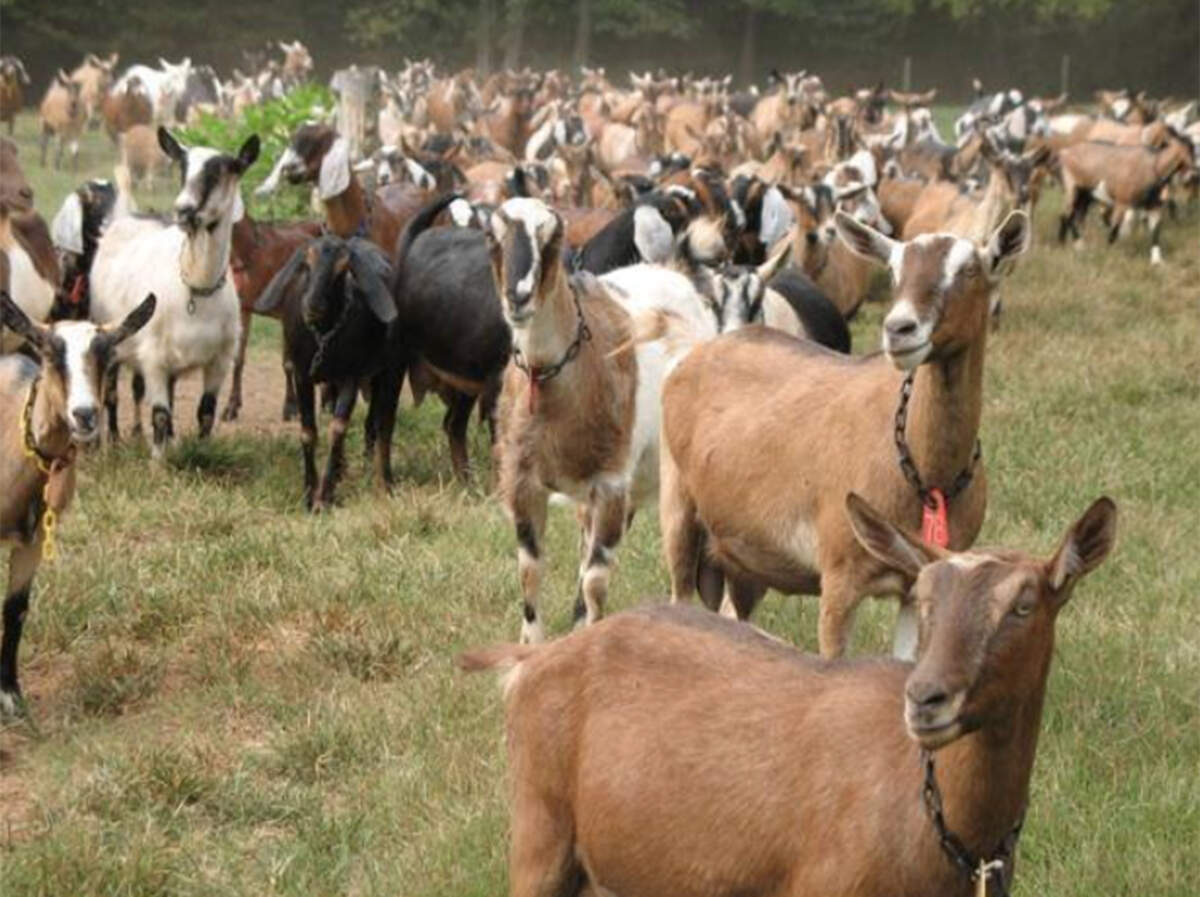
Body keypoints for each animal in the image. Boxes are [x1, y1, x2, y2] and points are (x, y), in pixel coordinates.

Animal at [0, 290, 155, 716]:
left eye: (106, 355)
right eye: (50, 353)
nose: (85, 415)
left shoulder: (33, 541)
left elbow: (15, 610)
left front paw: (11, 697)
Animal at [91, 128, 259, 458]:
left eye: (220, 171)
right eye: (182, 168)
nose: (183, 209)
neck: (196, 288)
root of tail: (127, 216)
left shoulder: (220, 360)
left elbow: (205, 412)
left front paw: (201, 453)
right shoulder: (154, 357)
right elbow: (159, 413)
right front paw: (158, 464)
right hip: (112, 335)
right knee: (113, 394)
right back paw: (114, 442)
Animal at [254, 236, 399, 510]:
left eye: (343, 269)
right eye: (306, 263)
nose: (313, 305)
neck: (323, 337)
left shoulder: (351, 376)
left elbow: (338, 428)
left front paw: (324, 496)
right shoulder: (302, 376)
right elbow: (308, 432)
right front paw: (309, 493)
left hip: (382, 373)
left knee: (374, 423)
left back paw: (368, 469)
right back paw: (342, 469)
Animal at [659, 210, 1030, 657]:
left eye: (971, 270)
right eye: (894, 270)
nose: (900, 329)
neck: (924, 469)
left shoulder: (918, 582)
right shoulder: (839, 576)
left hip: (742, 555)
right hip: (678, 511)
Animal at [1058, 134, 1194, 264]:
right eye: (1191, 149)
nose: (1193, 174)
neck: (1153, 165)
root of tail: (1066, 152)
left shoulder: (1154, 207)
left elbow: (1155, 232)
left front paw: (1157, 261)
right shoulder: (1122, 203)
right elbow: (1114, 231)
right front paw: (1107, 255)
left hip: (1085, 195)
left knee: (1072, 217)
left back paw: (1067, 244)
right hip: (1072, 187)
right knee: (1067, 215)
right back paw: (1077, 245)